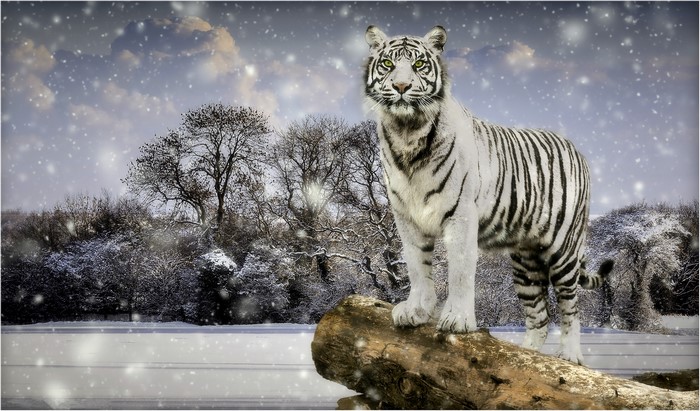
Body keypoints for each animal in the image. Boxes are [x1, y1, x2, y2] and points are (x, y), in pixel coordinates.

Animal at [363, 25, 613, 364]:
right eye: (388, 64)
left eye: (419, 65)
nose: (401, 86)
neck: (407, 134)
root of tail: (574, 147)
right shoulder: (406, 218)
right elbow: (417, 267)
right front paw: (416, 311)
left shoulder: (460, 217)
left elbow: (459, 271)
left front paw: (457, 320)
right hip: (526, 262)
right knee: (539, 317)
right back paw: (526, 362)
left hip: (564, 248)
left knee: (570, 306)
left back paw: (570, 357)